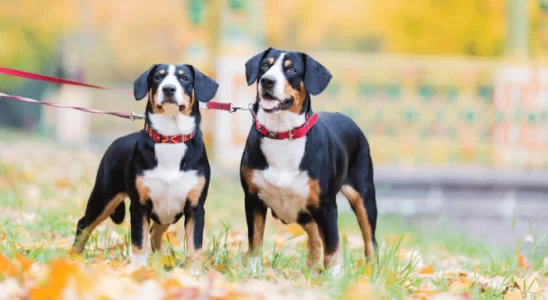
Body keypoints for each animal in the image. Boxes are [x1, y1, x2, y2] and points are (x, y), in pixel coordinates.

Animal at [70, 63, 218, 268]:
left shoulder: (195, 207)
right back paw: (72, 257)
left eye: (184, 78)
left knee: (155, 234)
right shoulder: (140, 205)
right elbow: (139, 242)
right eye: (158, 77)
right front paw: (138, 269)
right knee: (83, 224)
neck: (170, 138)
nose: (168, 89)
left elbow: (194, 246)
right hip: (104, 196)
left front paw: (193, 271)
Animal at [240, 47, 376, 274]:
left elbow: (333, 248)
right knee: (315, 239)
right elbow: (255, 242)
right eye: (265, 66)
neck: (282, 135)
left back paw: (371, 273)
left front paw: (334, 277)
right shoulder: (253, 199)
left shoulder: (326, 206)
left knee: (370, 241)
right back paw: (311, 273)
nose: (267, 81)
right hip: (304, 212)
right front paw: (252, 273)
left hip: (363, 197)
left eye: (292, 69)